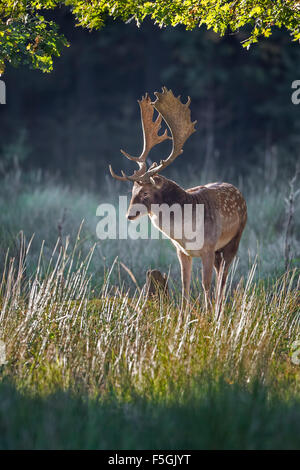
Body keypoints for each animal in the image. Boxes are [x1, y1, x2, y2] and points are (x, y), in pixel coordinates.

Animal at [109, 88, 247, 312]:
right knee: (220, 275)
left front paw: (207, 315)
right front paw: (184, 316)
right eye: (132, 190)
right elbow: (185, 284)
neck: (186, 232)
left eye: (145, 193)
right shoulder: (182, 251)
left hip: (234, 240)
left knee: (223, 279)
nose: (129, 215)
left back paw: (218, 311)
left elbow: (205, 284)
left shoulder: (208, 247)